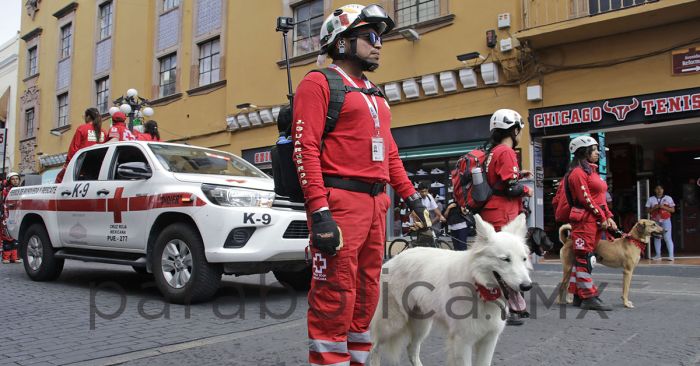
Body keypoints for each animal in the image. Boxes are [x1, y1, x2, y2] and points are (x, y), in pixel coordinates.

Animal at [372, 214, 532, 366]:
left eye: (524, 259)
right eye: (505, 259)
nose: (527, 286)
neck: (477, 285)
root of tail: (392, 260)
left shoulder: (489, 340)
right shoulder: (463, 341)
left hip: (421, 325)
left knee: (411, 349)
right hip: (392, 324)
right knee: (374, 346)